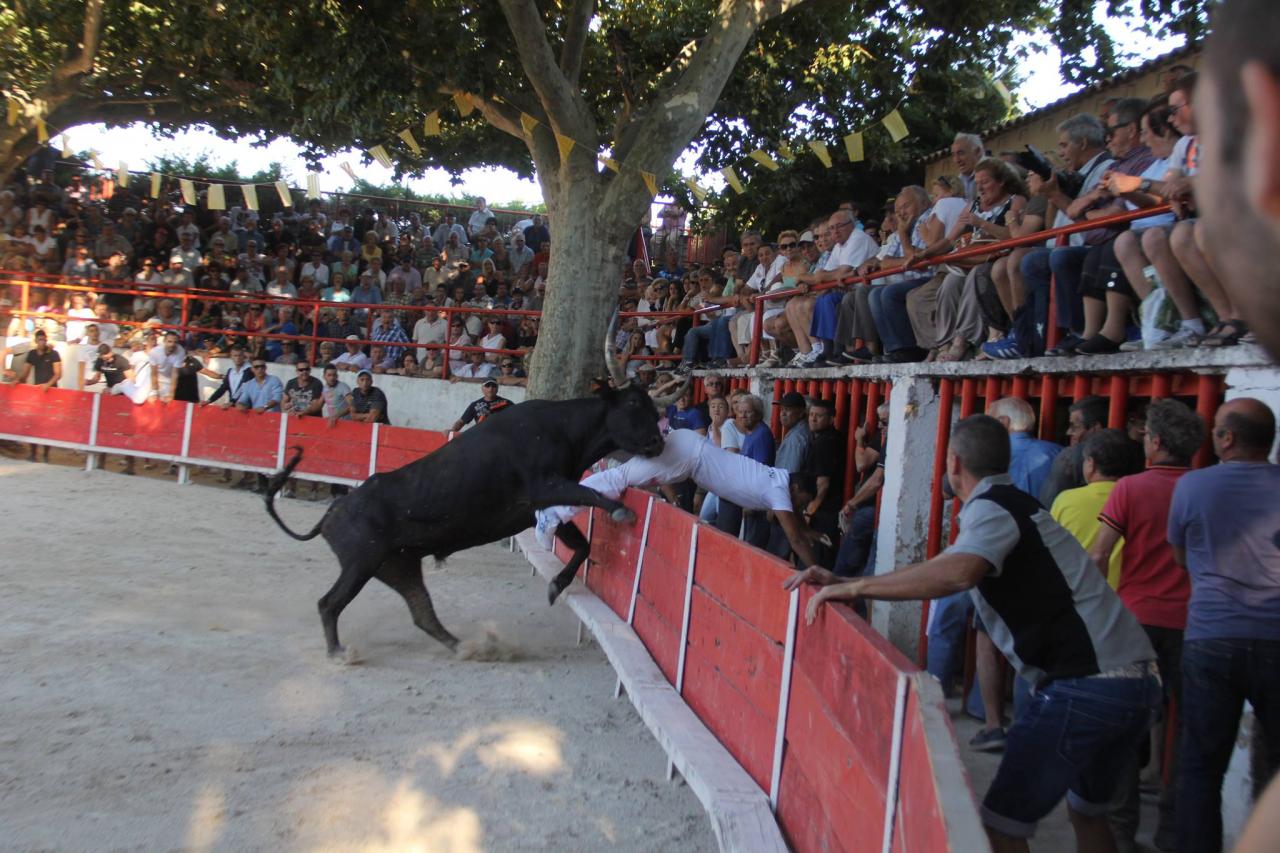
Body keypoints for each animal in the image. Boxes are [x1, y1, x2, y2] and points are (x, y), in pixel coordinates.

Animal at [259, 384, 660, 655]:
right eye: (634, 404)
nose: (658, 442)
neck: (562, 427)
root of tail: (333, 512)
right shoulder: (544, 488)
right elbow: (590, 498)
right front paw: (622, 510)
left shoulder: (541, 508)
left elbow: (582, 543)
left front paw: (556, 586)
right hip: (361, 563)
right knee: (330, 604)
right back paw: (340, 653)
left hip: (397, 565)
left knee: (421, 611)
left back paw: (465, 647)